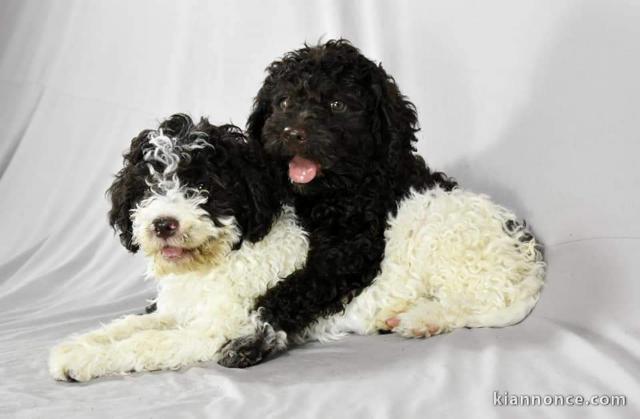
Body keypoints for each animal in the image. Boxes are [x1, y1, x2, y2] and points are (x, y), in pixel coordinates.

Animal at [47, 115, 308, 384]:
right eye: (150, 186)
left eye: (203, 185)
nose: (163, 225)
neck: (210, 264)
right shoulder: (172, 309)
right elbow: (130, 324)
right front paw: (79, 345)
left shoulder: (213, 328)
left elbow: (146, 341)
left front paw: (83, 358)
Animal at [219, 39, 544, 368]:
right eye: (284, 102)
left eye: (338, 105)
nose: (292, 134)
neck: (331, 194)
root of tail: (528, 261)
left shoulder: (351, 250)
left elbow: (297, 288)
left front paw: (252, 336)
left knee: (471, 302)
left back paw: (419, 320)